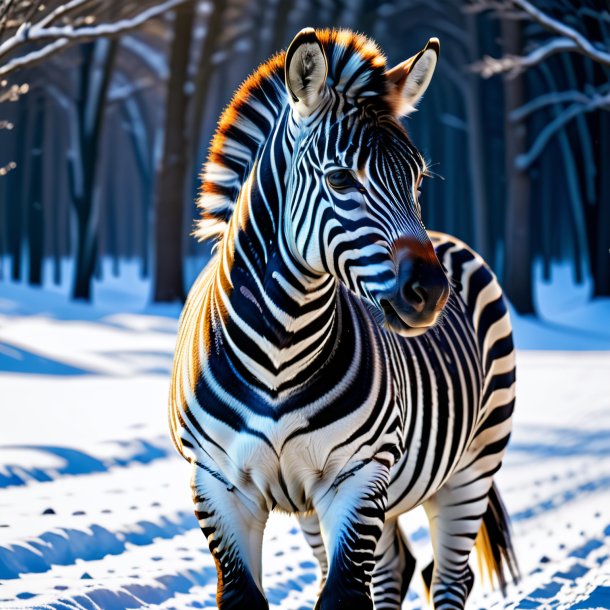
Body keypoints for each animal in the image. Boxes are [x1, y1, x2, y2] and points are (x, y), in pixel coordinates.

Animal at [169, 26, 516, 604]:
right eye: (339, 180)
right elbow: (244, 595)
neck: (280, 351)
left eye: (417, 180)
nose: (431, 292)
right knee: (399, 565)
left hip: (473, 465)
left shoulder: (357, 475)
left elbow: (344, 594)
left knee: (449, 576)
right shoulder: (219, 485)